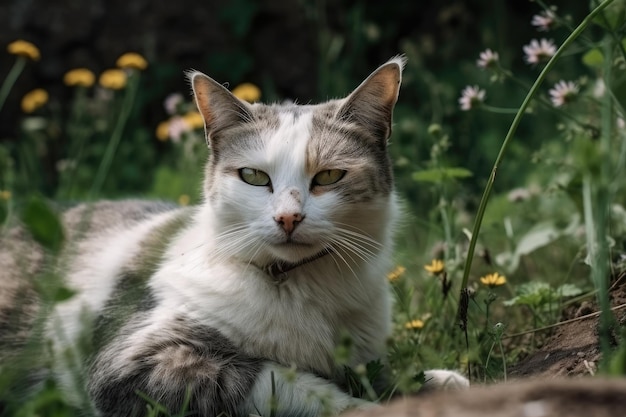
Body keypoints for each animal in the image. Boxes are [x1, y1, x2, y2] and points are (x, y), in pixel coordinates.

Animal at [0, 56, 464, 416]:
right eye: (253, 176)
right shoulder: (132, 364)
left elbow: (383, 373)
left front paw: (438, 382)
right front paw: (368, 406)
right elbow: (282, 381)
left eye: (329, 176)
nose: (288, 218)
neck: (298, 286)